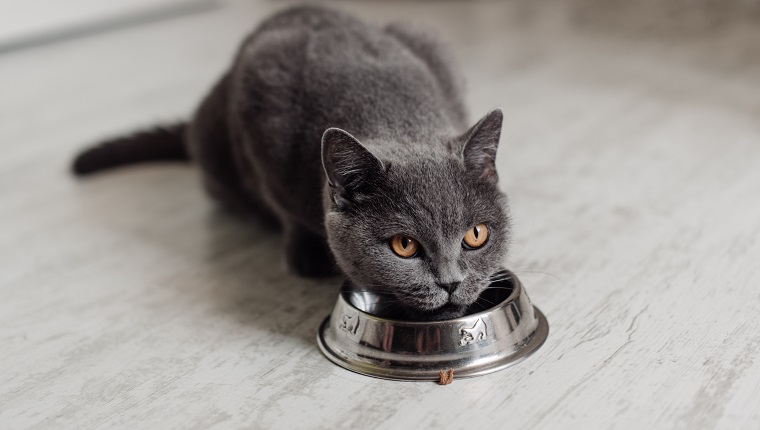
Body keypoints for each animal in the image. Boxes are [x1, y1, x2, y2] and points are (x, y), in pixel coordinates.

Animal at [72, 5, 510, 320]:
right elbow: (285, 208)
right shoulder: (263, 102)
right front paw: (305, 255)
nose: (451, 282)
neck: (393, 113)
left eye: (476, 235)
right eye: (404, 246)